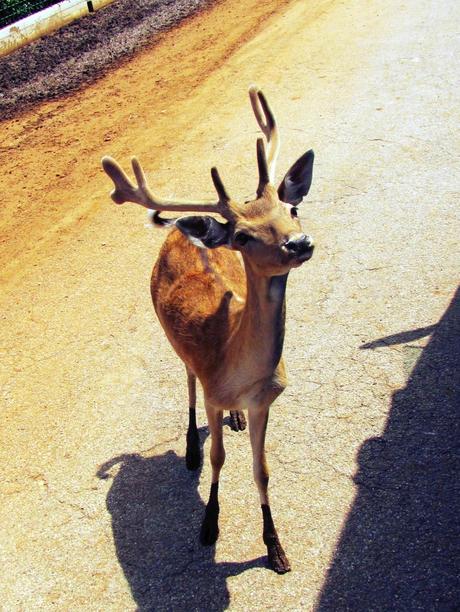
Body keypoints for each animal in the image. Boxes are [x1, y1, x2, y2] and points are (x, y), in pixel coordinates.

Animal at [102, 87, 314, 572]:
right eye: (244, 236)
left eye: (292, 208)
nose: (299, 243)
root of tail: (181, 233)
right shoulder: (214, 388)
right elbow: (218, 459)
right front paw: (209, 525)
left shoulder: (266, 401)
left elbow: (262, 471)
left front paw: (276, 548)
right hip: (173, 340)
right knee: (187, 382)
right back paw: (190, 447)